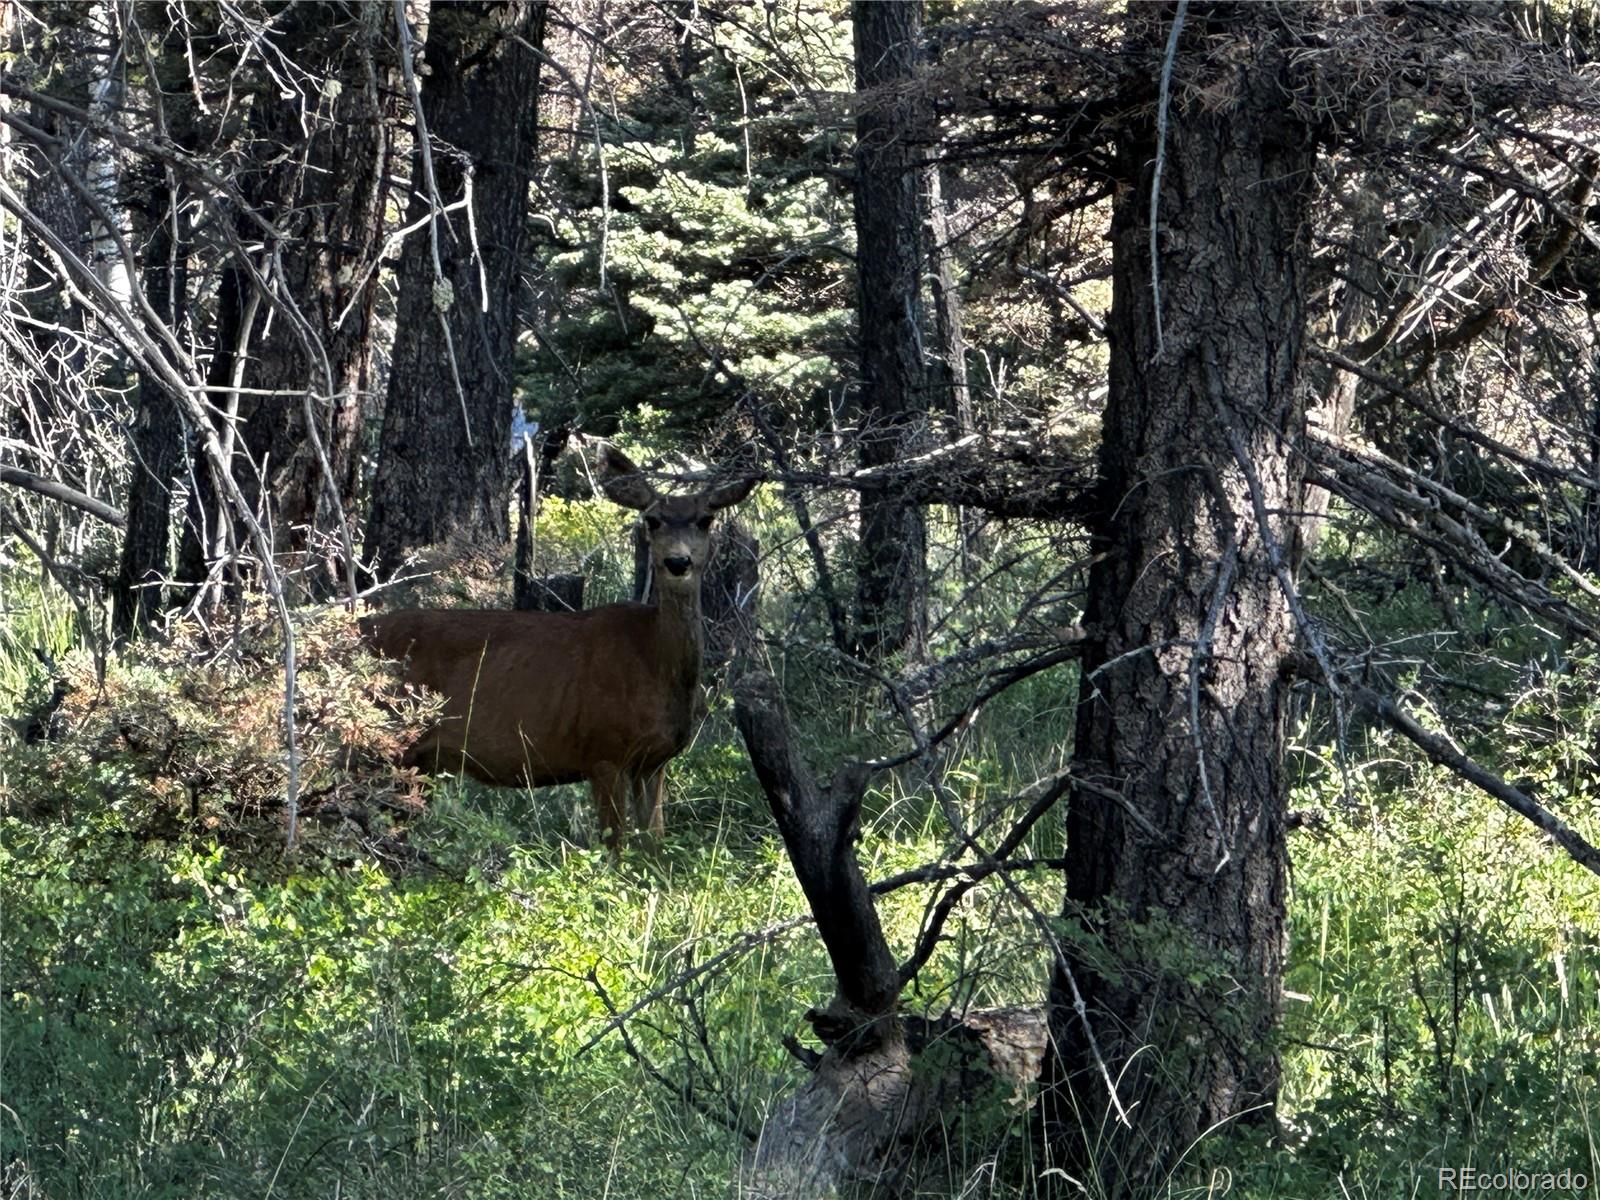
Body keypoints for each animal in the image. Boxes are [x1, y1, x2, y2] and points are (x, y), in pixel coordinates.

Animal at [366, 448, 752, 851]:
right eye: (653, 519)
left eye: (706, 519)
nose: (677, 561)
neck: (653, 658)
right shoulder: (603, 750)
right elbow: (615, 848)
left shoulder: (654, 762)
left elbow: (654, 845)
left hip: (420, 762)